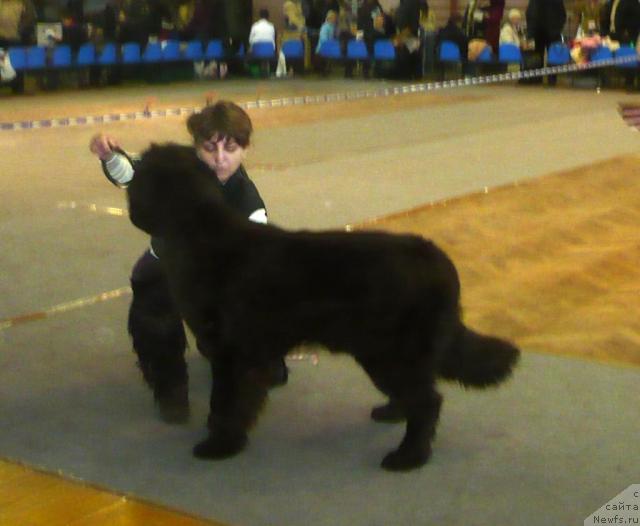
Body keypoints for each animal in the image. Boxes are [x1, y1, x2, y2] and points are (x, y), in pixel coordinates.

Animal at [126, 144, 520, 474]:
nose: (128, 175)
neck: (198, 233)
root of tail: (437, 259)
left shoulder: (233, 354)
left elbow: (227, 401)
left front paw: (221, 444)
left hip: (393, 353)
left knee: (427, 401)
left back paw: (408, 457)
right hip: (378, 354)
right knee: (414, 395)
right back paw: (392, 413)